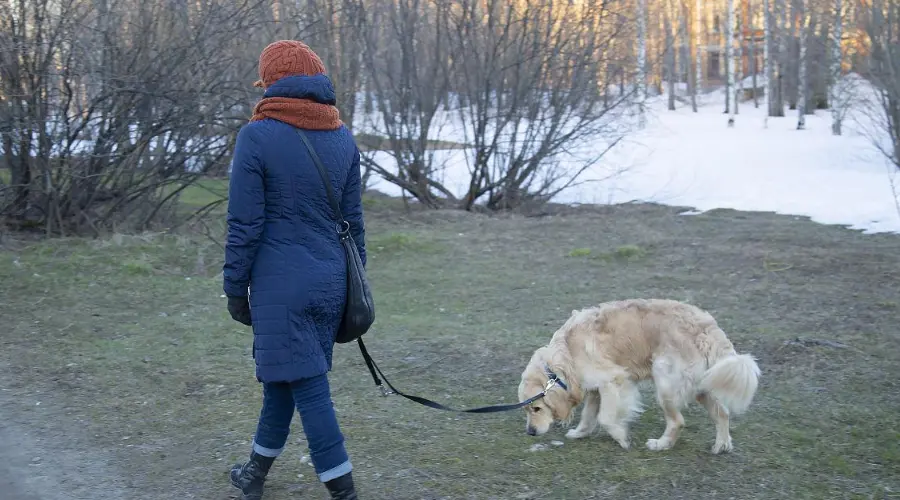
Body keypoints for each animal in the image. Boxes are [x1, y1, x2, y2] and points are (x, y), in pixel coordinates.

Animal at [520, 298, 760, 456]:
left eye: (537, 408)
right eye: (527, 409)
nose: (530, 432)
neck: (565, 353)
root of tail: (707, 327)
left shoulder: (613, 379)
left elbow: (605, 418)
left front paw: (622, 437)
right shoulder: (596, 388)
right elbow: (589, 416)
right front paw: (580, 433)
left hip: (665, 381)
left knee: (678, 421)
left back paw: (661, 444)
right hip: (702, 383)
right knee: (722, 413)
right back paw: (721, 445)